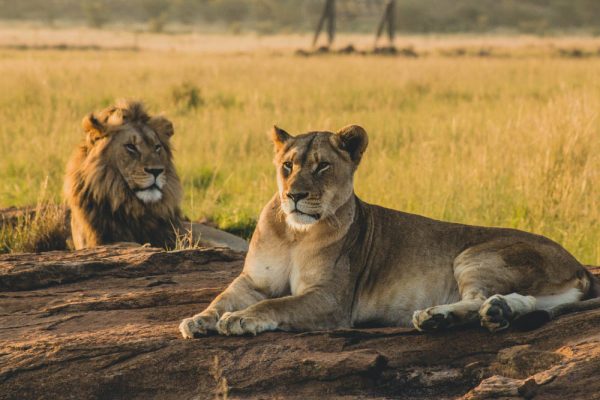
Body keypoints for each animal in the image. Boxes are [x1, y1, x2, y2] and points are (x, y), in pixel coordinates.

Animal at [180, 125, 596, 338]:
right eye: (287, 166)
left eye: (322, 167)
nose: (294, 195)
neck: (295, 234)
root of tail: (578, 265)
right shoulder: (253, 280)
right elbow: (222, 297)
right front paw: (199, 320)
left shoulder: (331, 299)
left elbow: (276, 304)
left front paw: (240, 320)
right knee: (524, 301)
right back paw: (493, 312)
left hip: (475, 254)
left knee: (478, 297)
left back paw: (437, 316)